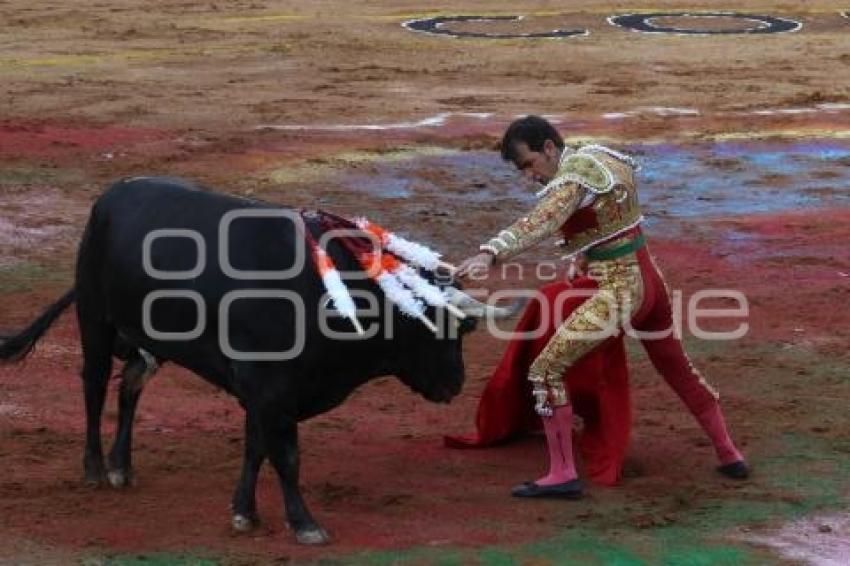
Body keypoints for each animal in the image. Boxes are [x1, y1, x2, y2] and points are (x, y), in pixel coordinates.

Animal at [1, 178, 516, 544]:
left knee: (130, 387)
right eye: (444, 329)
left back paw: (120, 467)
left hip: (150, 340)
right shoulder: (270, 388)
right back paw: (92, 469)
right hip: (94, 318)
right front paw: (304, 524)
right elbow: (285, 455)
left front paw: (244, 512)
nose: (454, 383)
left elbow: (256, 448)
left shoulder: (264, 393)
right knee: (93, 385)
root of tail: (109, 197)